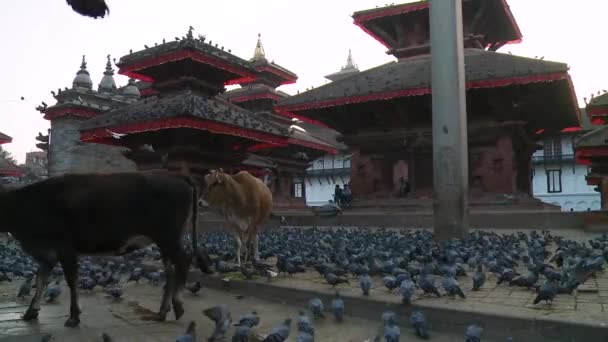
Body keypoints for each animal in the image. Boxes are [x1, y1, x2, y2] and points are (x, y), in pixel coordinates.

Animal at [0, 172, 211, 328]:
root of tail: (173, 175)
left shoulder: (66, 249)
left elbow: (71, 281)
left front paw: (74, 317)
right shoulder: (48, 254)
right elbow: (40, 280)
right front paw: (30, 312)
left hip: (168, 237)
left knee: (183, 263)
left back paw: (178, 305)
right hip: (164, 242)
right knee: (171, 271)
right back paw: (161, 312)